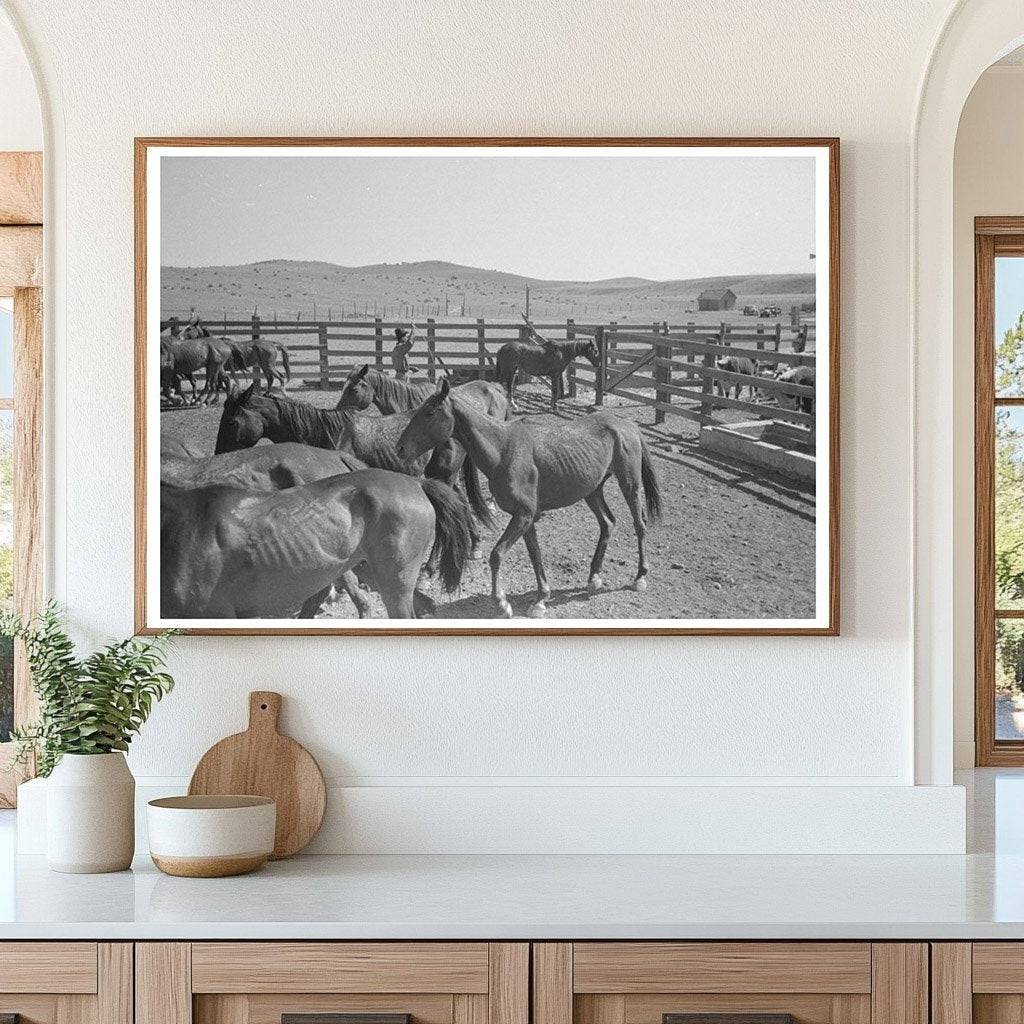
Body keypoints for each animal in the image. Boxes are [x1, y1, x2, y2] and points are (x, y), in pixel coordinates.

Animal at [395, 376, 659, 614]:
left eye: (429, 412)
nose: (400, 448)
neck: (503, 449)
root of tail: (627, 424)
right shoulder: (527, 517)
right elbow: (535, 554)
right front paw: (541, 598)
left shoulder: (523, 516)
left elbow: (497, 555)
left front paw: (501, 602)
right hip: (593, 491)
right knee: (607, 524)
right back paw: (594, 577)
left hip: (630, 485)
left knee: (639, 524)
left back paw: (640, 577)